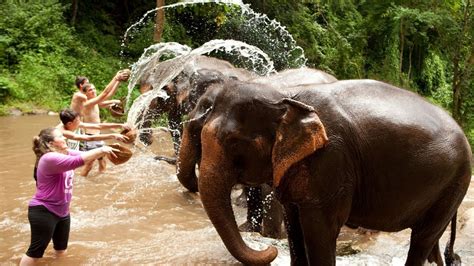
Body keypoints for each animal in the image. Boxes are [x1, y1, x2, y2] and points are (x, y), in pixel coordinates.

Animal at [181, 78, 470, 264]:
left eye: (233, 142)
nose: (270, 252)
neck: (286, 93)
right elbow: (294, 223)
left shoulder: (331, 160)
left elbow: (320, 229)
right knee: (429, 241)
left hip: (455, 183)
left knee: (422, 238)